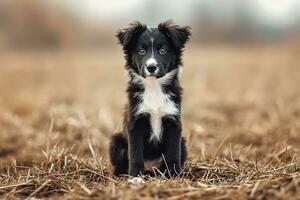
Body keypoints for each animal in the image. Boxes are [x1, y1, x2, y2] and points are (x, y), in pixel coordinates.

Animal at [109, 20, 191, 177]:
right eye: (141, 51)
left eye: (163, 50)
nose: (151, 67)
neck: (154, 87)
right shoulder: (136, 122)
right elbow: (135, 153)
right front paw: (135, 175)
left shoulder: (173, 121)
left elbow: (173, 153)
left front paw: (173, 174)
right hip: (116, 142)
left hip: (183, 143)